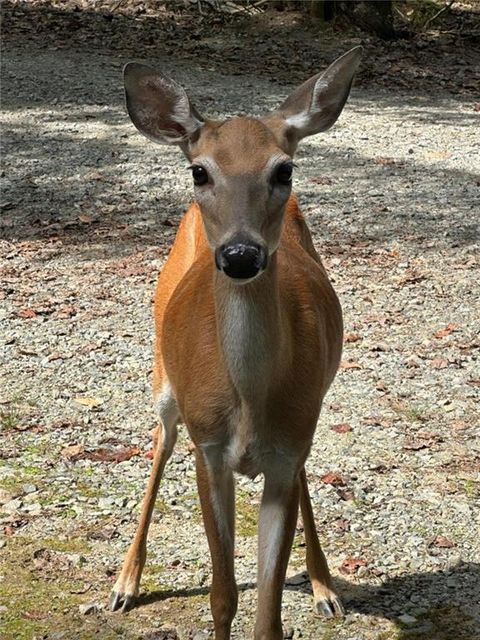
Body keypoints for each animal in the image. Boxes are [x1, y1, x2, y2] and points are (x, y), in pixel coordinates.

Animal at [109, 46, 362, 640]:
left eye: (283, 168)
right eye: (200, 170)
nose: (241, 255)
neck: (247, 399)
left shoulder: (288, 448)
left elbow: (267, 613)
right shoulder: (210, 450)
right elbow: (223, 596)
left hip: (311, 409)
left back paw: (323, 585)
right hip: (166, 384)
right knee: (159, 441)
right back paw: (125, 583)